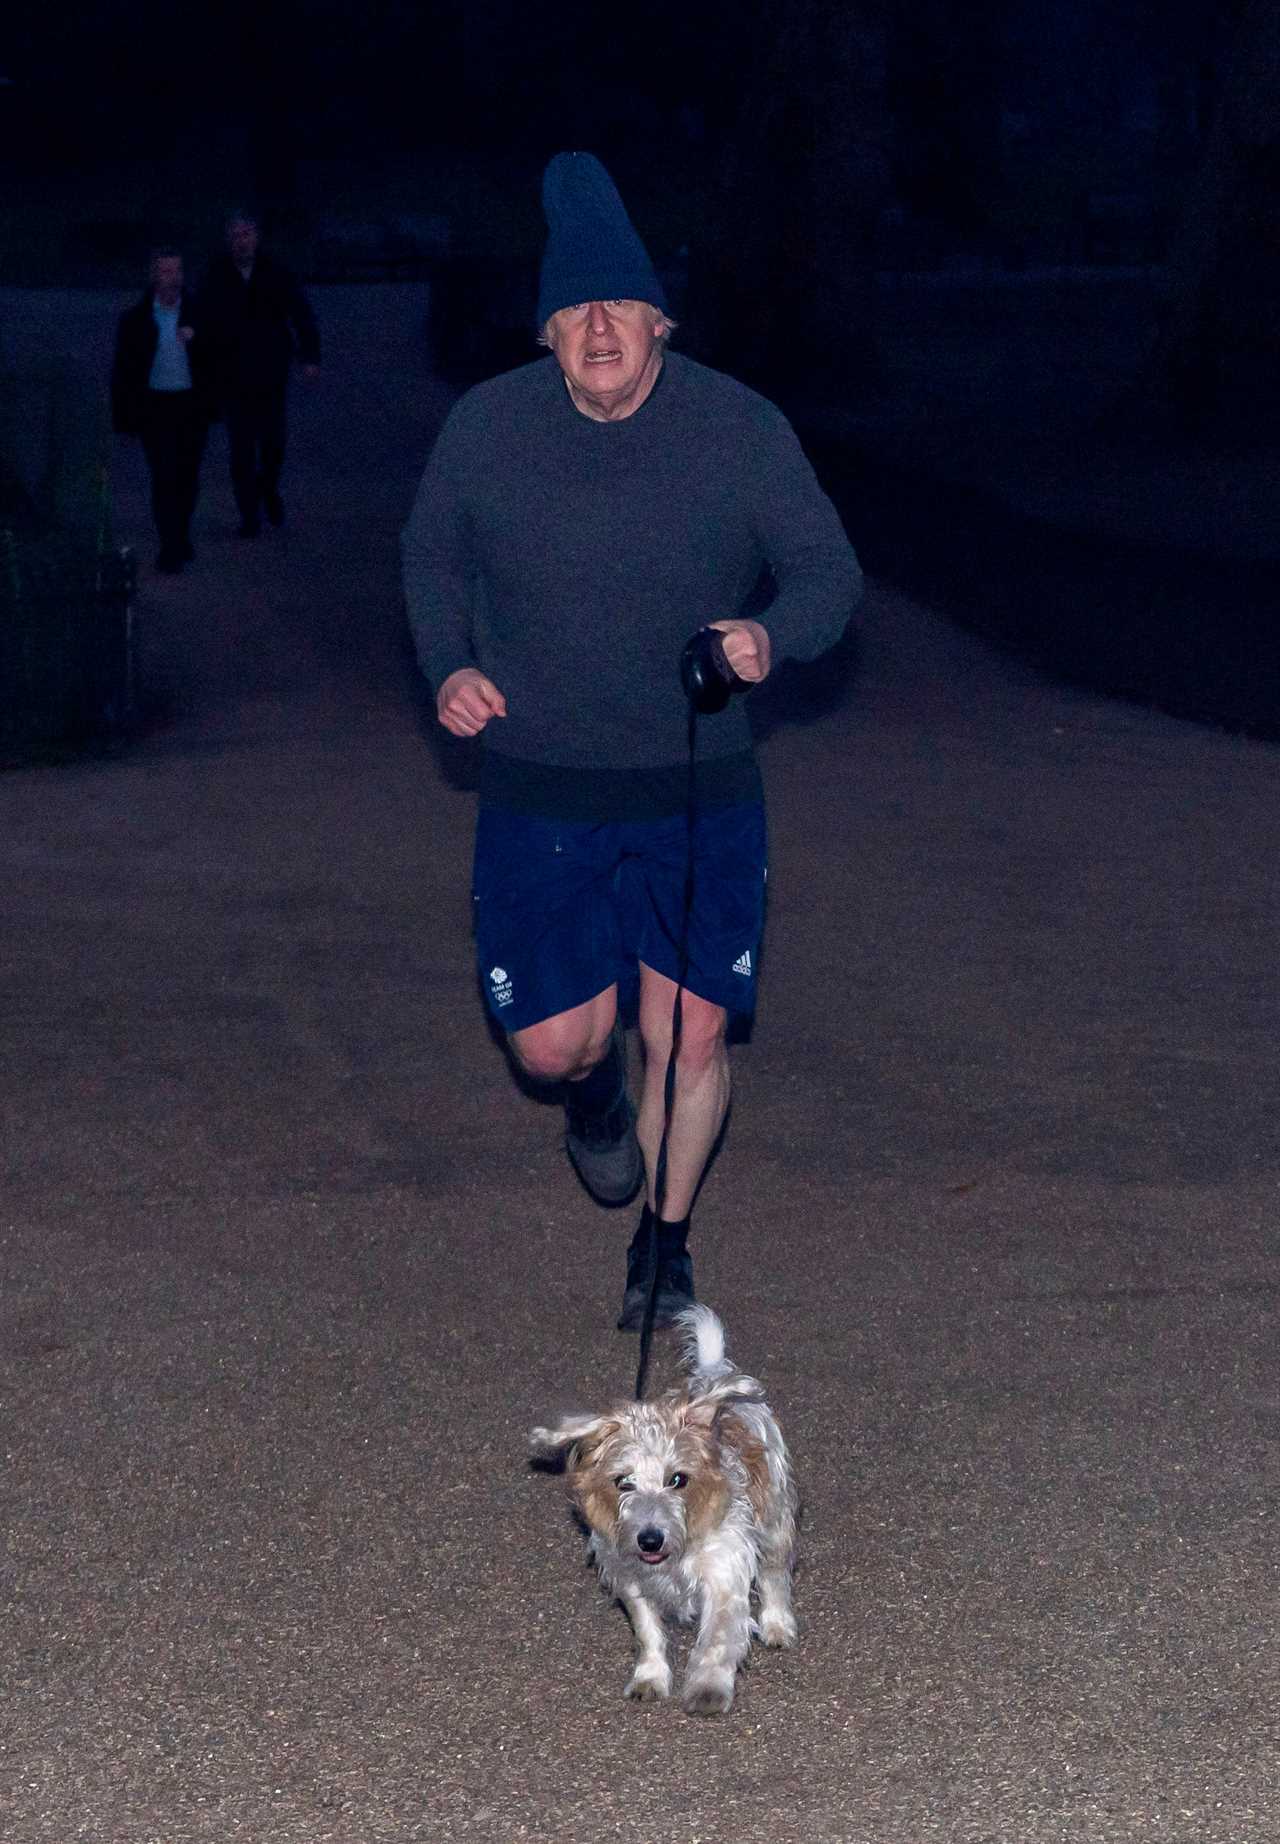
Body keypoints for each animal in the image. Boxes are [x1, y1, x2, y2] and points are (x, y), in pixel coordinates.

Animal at [527, 1312, 793, 1711]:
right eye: (623, 1482)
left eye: (678, 1479)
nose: (649, 1540)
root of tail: (712, 1375)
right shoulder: (632, 1580)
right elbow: (647, 1632)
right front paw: (649, 1678)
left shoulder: (724, 1574)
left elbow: (717, 1639)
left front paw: (708, 1689)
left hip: (775, 1518)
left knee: (775, 1574)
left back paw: (777, 1624)